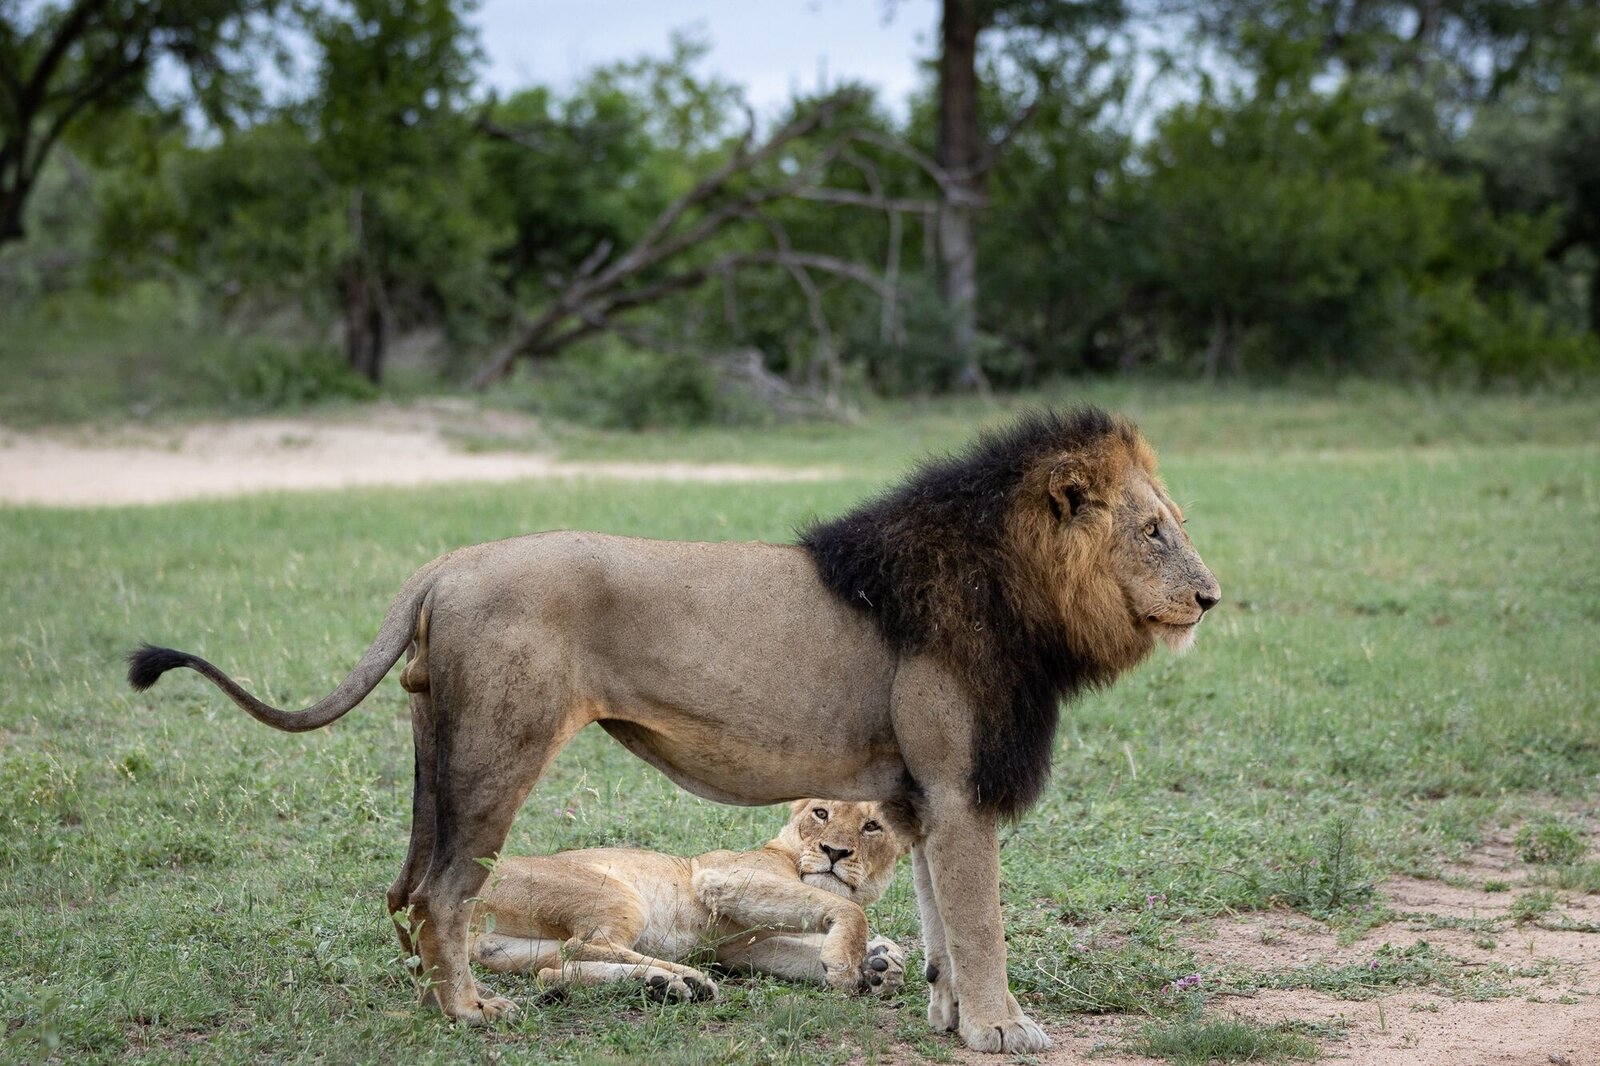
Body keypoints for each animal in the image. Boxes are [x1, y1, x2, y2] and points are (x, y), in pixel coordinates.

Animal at [466, 799, 908, 1002]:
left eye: (872, 826)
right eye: (821, 813)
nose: (835, 852)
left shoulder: (742, 947)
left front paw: (881, 967)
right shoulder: (724, 879)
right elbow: (851, 909)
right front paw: (852, 962)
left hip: (517, 949)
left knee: (554, 968)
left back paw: (663, 985)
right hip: (620, 895)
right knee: (581, 946)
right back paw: (689, 978)